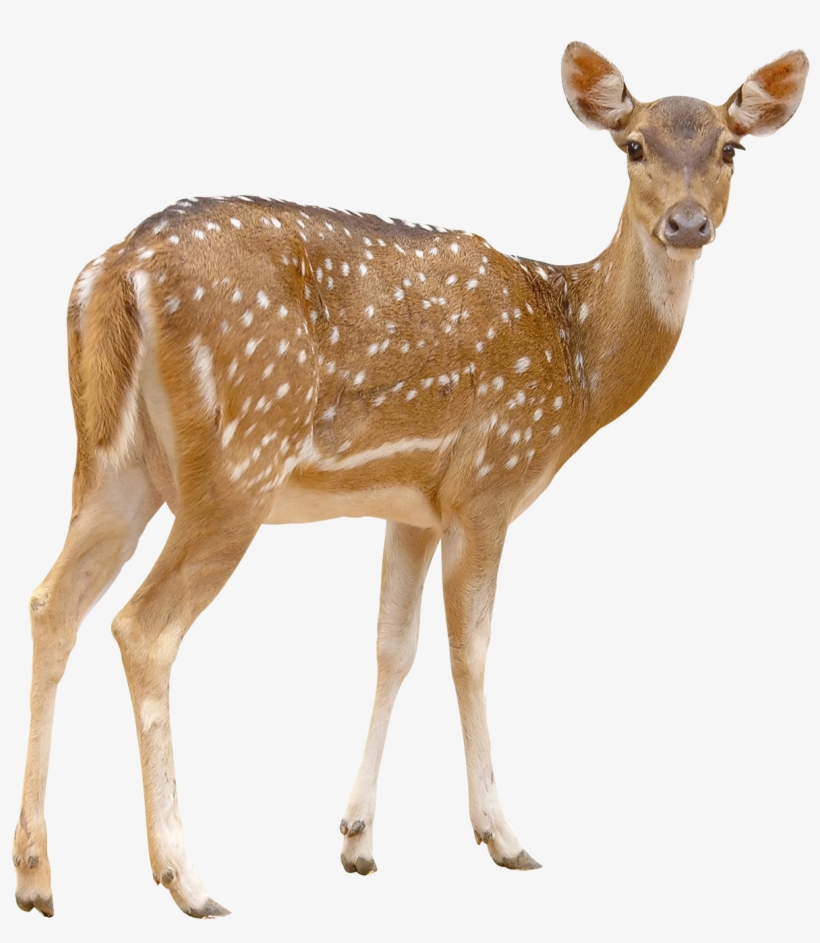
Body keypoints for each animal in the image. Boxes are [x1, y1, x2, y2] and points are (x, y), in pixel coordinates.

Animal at [12, 42, 809, 919]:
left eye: (731, 148)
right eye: (632, 145)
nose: (688, 223)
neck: (575, 362)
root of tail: (116, 271)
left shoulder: (413, 506)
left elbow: (394, 646)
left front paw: (357, 838)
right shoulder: (488, 484)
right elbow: (472, 649)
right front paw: (503, 834)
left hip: (111, 466)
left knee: (51, 603)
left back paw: (36, 874)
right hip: (236, 465)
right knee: (142, 626)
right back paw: (187, 876)